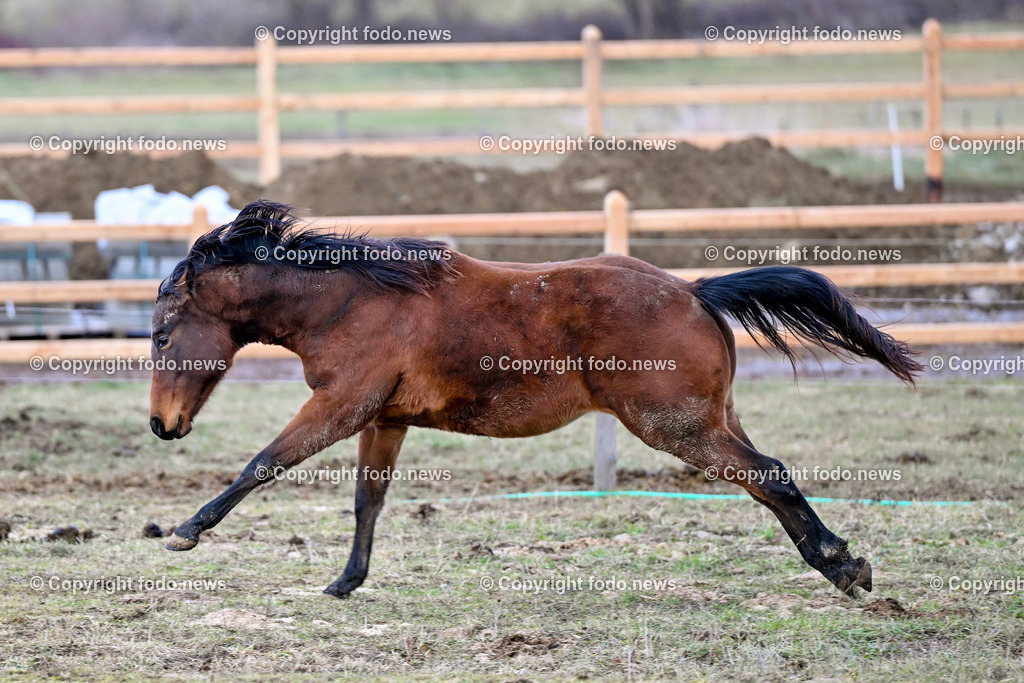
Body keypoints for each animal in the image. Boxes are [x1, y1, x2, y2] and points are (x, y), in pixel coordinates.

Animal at [150, 200, 922, 598]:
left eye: (160, 335)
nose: (162, 425)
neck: (354, 300)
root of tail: (694, 291)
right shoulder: (384, 418)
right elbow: (368, 500)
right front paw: (347, 580)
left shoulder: (341, 406)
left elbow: (263, 463)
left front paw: (185, 529)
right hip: (708, 420)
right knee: (767, 481)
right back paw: (838, 563)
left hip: (675, 426)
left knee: (771, 476)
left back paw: (843, 564)